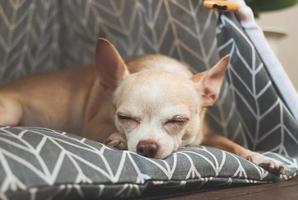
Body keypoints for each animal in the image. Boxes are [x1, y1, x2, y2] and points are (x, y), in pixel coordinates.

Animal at [0, 38, 286, 174]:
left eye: (177, 121)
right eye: (124, 117)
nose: (146, 147)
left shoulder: (206, 135)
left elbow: (233, 144)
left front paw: (262, 158)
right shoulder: (94, 124)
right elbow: (104, 130)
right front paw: (117, 138)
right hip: (12, 111)